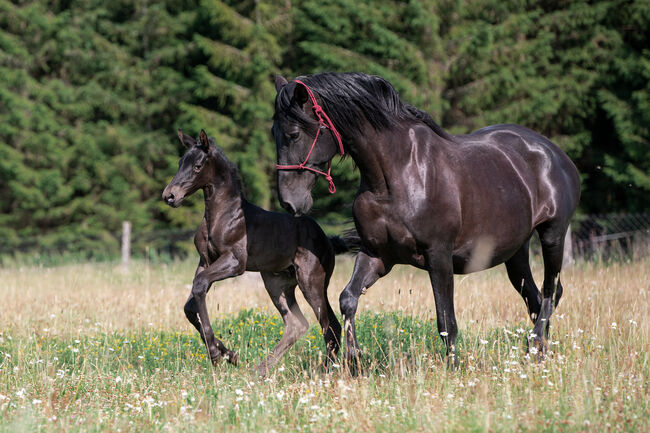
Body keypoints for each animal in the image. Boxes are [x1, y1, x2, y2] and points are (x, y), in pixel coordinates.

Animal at [270, 72, 580, 370]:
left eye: (294, 134)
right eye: (274, 133)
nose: (289, 202)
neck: (396, 175)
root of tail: (554, 153)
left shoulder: (438, 256)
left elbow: (446, 322)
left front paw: (453, 370)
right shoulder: (377, 255)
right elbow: (348, 299)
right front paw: (354, 361)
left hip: (552, 236)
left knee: (551, 290)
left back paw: (535, 346)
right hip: (515, 252)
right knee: (534, 298)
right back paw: (539, 354)